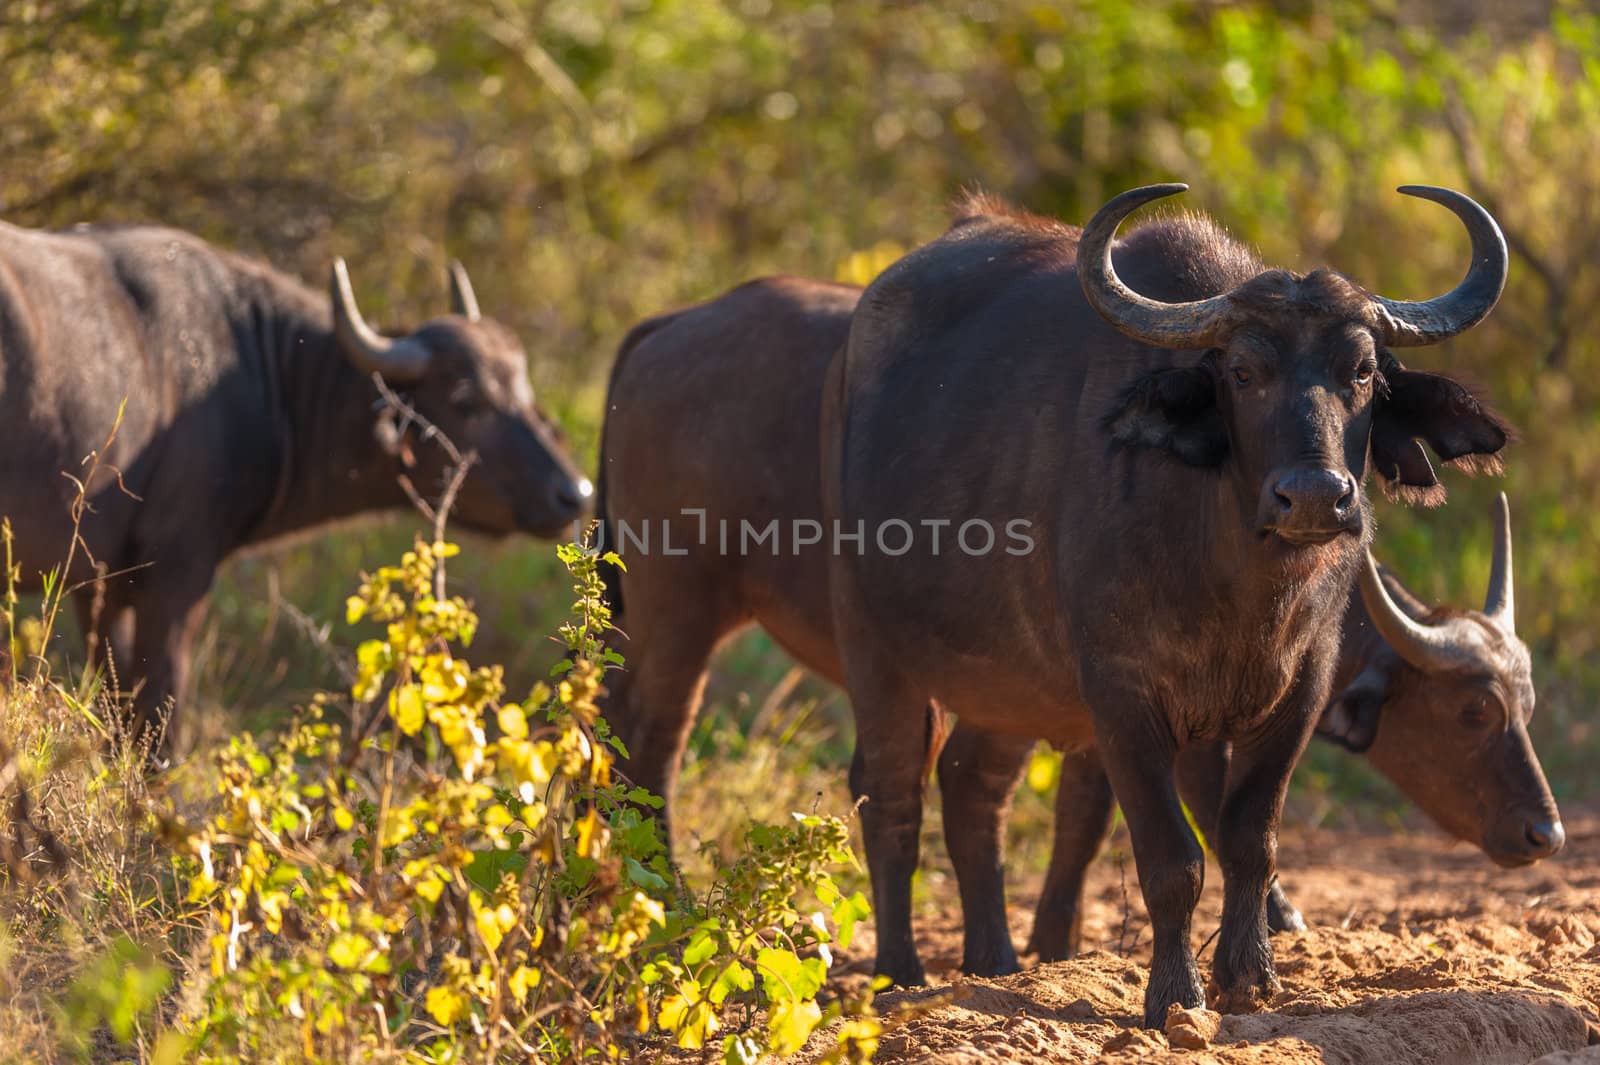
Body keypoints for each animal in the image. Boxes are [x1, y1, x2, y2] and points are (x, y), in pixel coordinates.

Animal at [0, 225, 592, 751]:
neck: (261, 371)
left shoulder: (98, 587)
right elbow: (156, 726)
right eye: (467, 398)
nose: (575, 493)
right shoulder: (175, 579)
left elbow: (119, 717)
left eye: (523, 388)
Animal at [595, 271, 1555, 978]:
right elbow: (1178, 818)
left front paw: (1061, 942)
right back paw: (702, 908)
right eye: (1473, 712)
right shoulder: (1131, 696)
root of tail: (670, 325)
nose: (1543, 832)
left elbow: (1106, 814)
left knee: (962, 782)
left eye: (1526, 707)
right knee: (675, 744)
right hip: (692, 609)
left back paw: (991, 955)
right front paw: (1261, 927)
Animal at [819, 182, 1504, 1023]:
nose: (1314, 495)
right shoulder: (1121, 697)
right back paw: (900, 972)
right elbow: (1172, 857)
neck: (1237, 580)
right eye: (1242, 371)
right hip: (873, 649)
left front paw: (1250, 975)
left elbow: (1249, 837)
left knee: (970, 784)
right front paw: (1175, 992)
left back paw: (996, 961)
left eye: (1364, 371)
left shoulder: (1299, 691)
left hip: (1006, 686)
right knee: (891, 795)